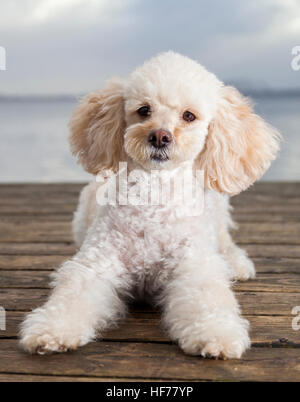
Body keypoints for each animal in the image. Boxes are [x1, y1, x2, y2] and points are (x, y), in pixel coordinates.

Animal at [19, 52, 280, 358]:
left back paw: (236, 263)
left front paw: (216, 335)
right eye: (144, 110)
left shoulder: (195, 266)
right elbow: (72, 296)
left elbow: (207, 298)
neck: (154, 193)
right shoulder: (96, 263)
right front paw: (51, 329)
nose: (159, 136)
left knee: (225, 239)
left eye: (189, 116)